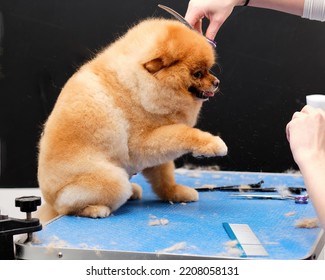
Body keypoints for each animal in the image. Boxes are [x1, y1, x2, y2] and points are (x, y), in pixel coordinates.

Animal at [36, 18, 227, 222]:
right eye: (197, 73)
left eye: (209, 69)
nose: (217, 82)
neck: (139, 85)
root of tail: (50, 201)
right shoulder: (143, 143)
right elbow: (184, 134)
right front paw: (213, 144)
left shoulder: (158, 148)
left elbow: (164, 177)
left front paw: (175, 193)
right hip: (113, 181)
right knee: (68, 208)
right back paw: (96, 209)